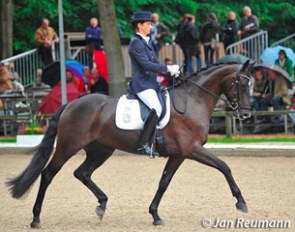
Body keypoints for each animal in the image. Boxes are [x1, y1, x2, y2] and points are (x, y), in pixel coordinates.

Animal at [6, 60, 254, 227]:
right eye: (241, 85)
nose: (246, 114)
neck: (192, 101)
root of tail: (71, 104)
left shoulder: (179, 154)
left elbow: (163, 183)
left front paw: (155, 215)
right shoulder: (191, 149)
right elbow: (224, 167)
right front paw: (241, 203)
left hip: (101, 150)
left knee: (82, 173)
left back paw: (102, 204)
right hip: (68, 146)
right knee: (48, 174)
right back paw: (36, 218)